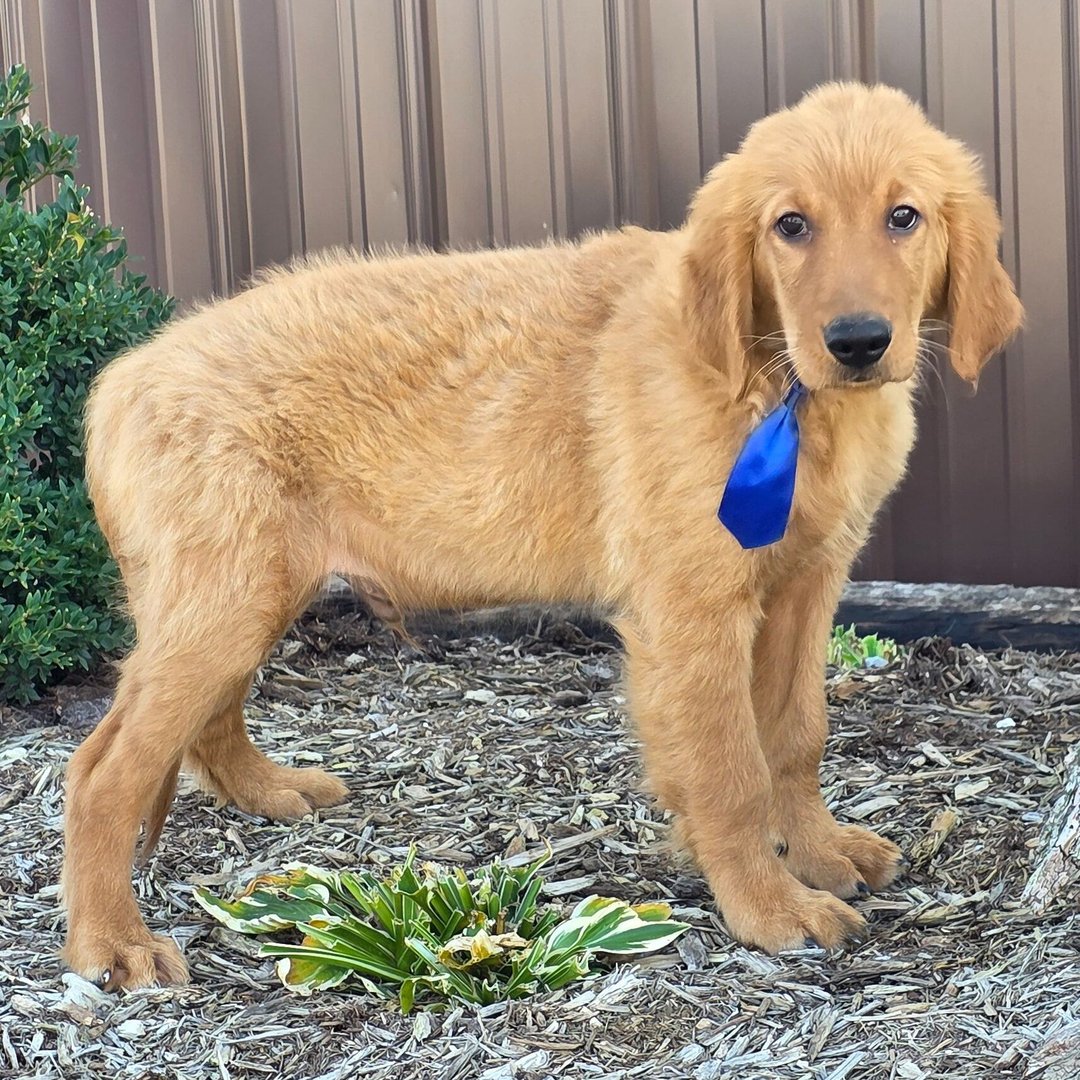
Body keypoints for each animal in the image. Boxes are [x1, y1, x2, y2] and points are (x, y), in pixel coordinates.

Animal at [63, 82, 1022, 989]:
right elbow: (729, 769)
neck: (773, 381)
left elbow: (794, 735)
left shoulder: (805, 584)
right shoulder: (692, 606)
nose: (859, 342)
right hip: (228, 592)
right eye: (791, 226)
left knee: (205, 720)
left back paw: (269, 791)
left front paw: (818, 852)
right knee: (102, 769)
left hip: (244, 591)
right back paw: (111, 941)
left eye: (904, 217)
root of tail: (124, 375)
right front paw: (768, 906)